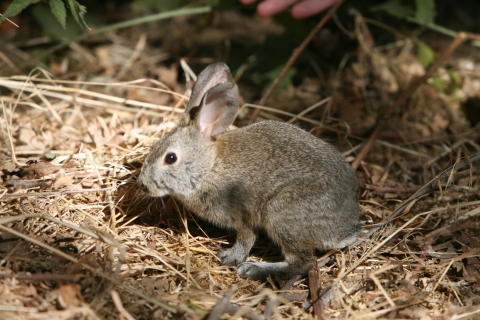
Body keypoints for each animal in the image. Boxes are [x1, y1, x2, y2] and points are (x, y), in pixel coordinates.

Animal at [137, 63, 362, 280]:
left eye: (171, 158)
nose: (142, 184)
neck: (209, 168)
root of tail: (346, 230)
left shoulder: (243, 213)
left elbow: (246, 238)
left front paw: (230, 257)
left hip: (282, 214)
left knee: (302, 262)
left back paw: (253, 269)